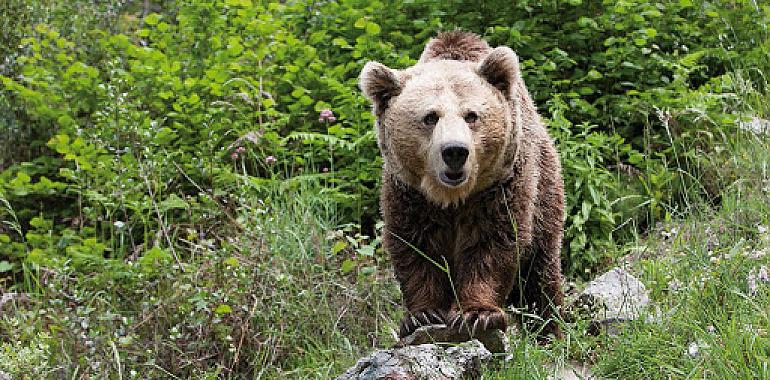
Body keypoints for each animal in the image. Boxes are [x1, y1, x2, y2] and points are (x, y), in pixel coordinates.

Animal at [356, 31, 560, 340]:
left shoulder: (500, 187)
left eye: (471, 115)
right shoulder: (409, 194)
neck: (452, 197)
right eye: (430, 117)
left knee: (539, 274)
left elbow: (493, 243)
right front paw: (422, 315)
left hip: (545, 192)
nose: (455, 151)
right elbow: (416, 248)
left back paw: (550, 330)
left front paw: (477, 314)